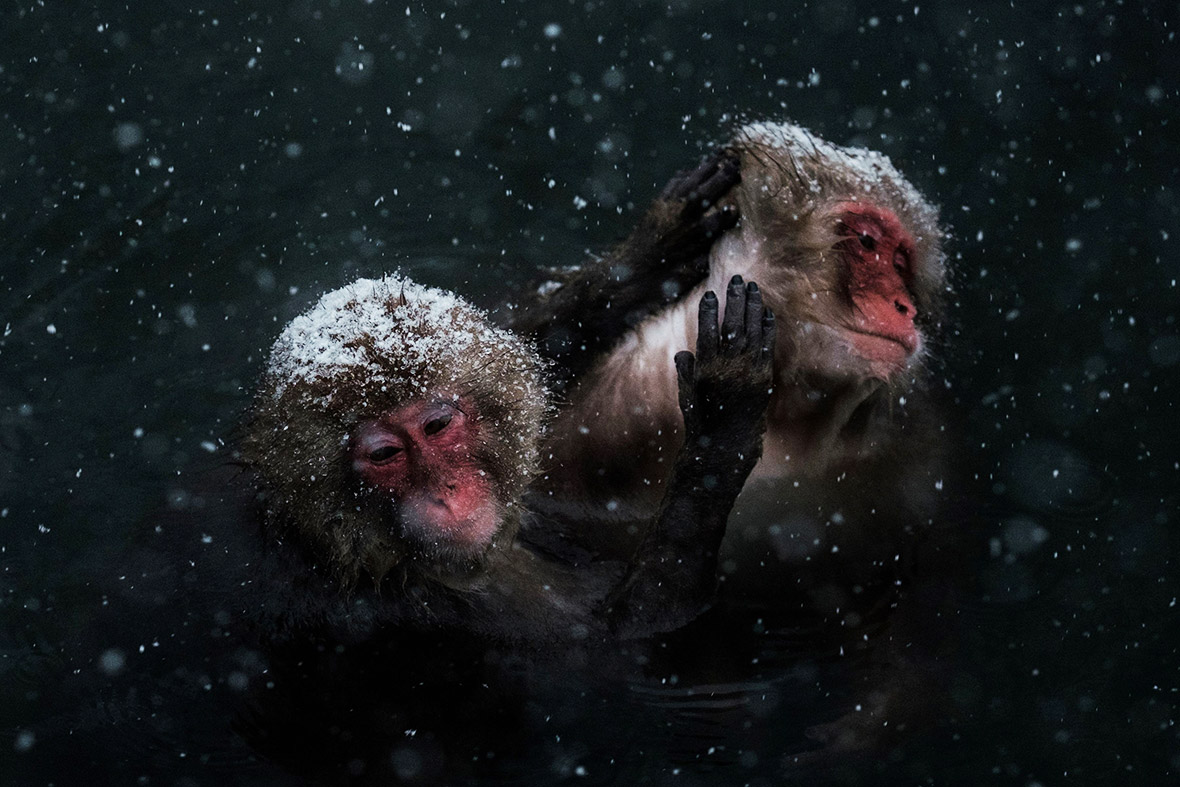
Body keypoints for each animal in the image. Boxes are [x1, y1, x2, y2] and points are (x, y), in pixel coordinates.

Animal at [238, 273, 775, 645]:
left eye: (437, 426)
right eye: (385, 454)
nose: (446, 490)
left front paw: (656, 245)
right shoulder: (414, 610)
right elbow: (649, 622)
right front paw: (724, 407)